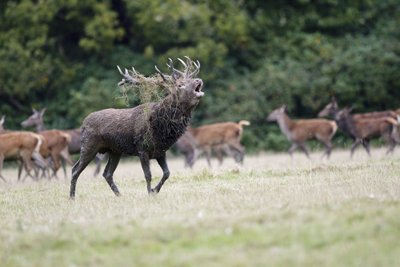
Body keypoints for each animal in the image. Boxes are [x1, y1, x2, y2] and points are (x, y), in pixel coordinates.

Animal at [68, 57, 203, 199]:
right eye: (180, 85)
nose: (198, 80)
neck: (160, 128)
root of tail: (83, 124)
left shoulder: (161, 151)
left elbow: (167, 173)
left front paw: (154, 190)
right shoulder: (142, 149)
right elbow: (148, 175)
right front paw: (149, 193)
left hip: (114, 151)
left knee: (107, 173)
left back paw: (119, 195)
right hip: (89, 145)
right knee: (75, 170)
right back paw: (72, 197)